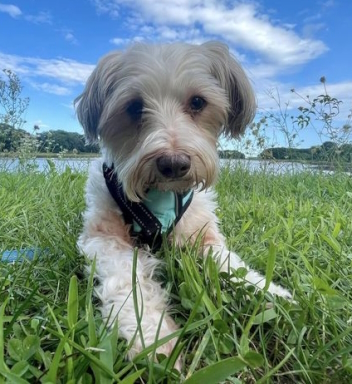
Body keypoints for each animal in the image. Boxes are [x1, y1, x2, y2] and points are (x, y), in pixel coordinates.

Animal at [75, 40, 292, 368]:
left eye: (198, 102)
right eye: (134, 107)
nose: (174, 163)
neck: (161, 195)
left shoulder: (202, 234)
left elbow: (231, 264)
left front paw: (266, 291)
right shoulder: (104, 237)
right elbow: (128, 280)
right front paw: (151, 335)